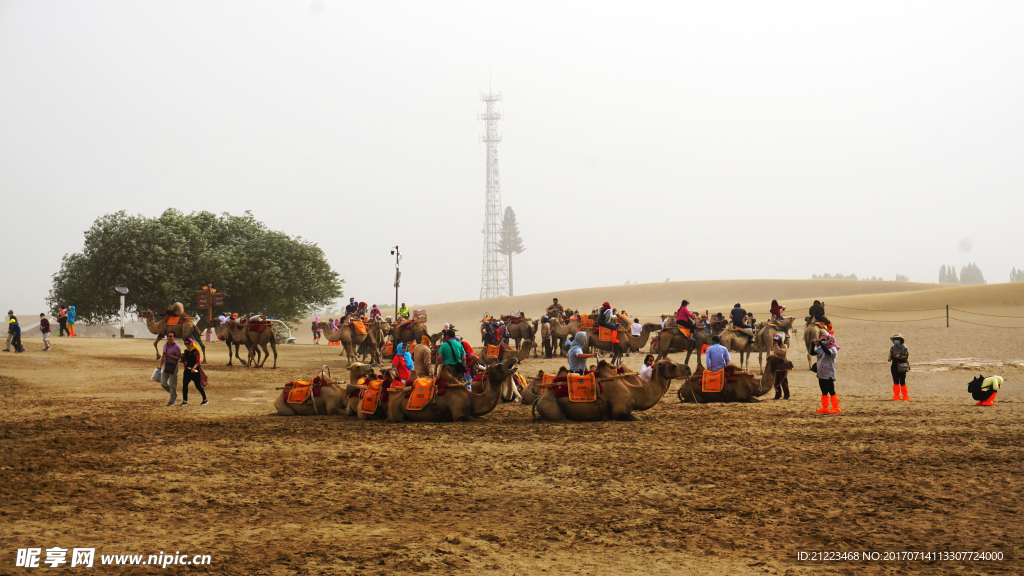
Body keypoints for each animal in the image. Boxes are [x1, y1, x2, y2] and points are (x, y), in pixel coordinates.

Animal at [385, 356, 520, 420]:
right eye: (499, 365)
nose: (513, 359)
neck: (472, 399)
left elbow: (480, 417)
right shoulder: (458, 414)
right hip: (396, 411)